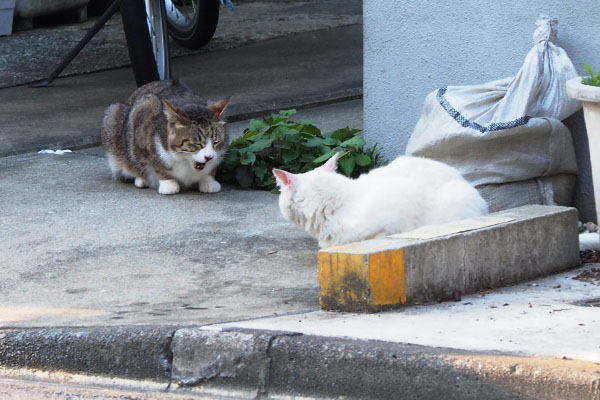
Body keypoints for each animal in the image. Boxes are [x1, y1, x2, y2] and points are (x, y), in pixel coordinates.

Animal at [99, 78, 231, 195]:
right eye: (197, 143)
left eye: (216, 142)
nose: (209, 157)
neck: (186, 162)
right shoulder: (143, 116)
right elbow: (155, 162)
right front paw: (168, 183)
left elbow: (212, 168)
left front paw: (208, 180)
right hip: (113, 115)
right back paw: (141, 179)